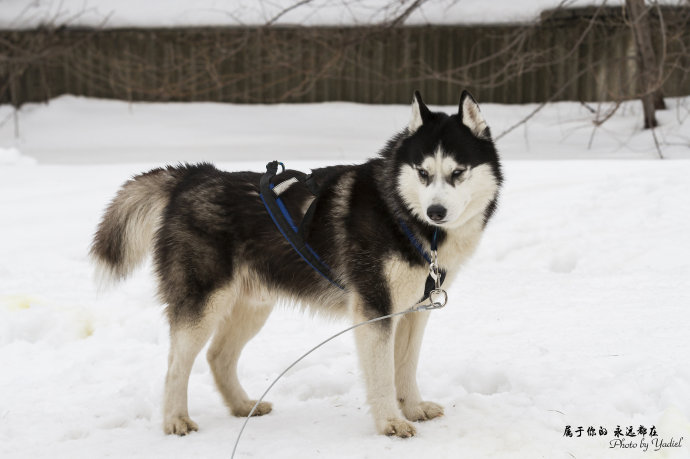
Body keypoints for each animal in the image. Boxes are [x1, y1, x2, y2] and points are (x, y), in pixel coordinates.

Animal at [91, 90, 500, 438]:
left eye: (458, 172)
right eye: (423, 172)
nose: (436, 211)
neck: (402, 213)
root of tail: (193, 175)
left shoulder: (415, 310)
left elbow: (406, 367)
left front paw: (412, 408)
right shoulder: (374, 308)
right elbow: (383, 374)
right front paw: (390, 422)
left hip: (254, 306)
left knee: (217, 356)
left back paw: (242, 405)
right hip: (203, 305)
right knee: (176, 365)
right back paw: (176, 419)